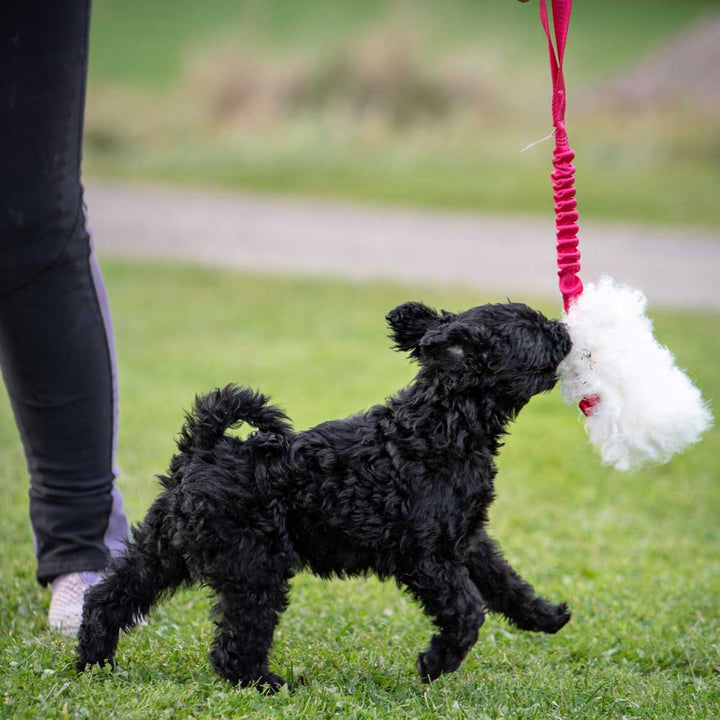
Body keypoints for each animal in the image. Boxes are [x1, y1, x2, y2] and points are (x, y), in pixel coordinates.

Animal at [77, 300, 572, 692]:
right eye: (533, 327)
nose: (565, 330)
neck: (443, 425)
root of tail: (203, 447)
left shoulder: (467, 540)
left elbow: (506, 584)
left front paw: (546, 616)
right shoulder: (427, 556)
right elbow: (468, 611)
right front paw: (435, 663)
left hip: (164, 549)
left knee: (108, 598)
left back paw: (93, 664)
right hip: (254, 569)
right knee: (234, 645)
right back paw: (266, 684)